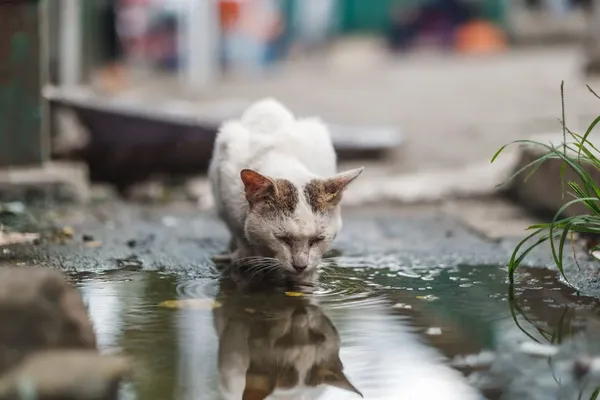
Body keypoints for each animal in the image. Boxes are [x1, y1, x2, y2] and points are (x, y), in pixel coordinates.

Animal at [209, 98, 364, 282]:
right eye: (282, 239)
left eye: (317, 239)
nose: (300, 266)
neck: (282, 156)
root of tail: (268, 103)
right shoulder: (227, 197)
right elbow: (241, 235)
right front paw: (245, 259)